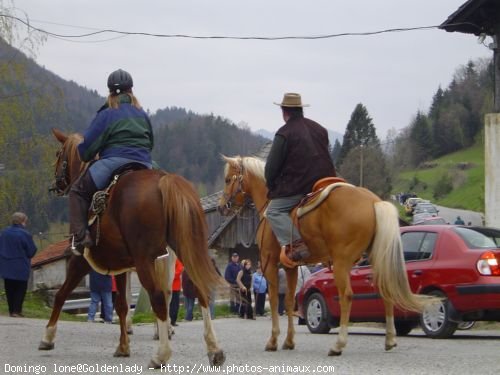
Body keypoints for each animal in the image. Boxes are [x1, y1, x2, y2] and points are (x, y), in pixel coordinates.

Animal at [38, 129, 225, 368]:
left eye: (58, 154)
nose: (56, 184)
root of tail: (165, 180)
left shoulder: (81, 260)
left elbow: (62, 294)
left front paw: (48, 337)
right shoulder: (119, 266)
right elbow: (122, 305)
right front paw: (123, 346)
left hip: (146, 260)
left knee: (158, 297)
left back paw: (161, 353)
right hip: (182, 253)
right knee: (196, 291)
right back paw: (213, 348)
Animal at [219, 156, 434, 356]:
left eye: (228, 179)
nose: (222, 206)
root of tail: (373, 201)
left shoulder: (269, 262)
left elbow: (273, 299)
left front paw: (273, 340)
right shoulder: (290, 267)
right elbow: (288, 301)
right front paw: (289, 341)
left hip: (341, 263)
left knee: (346, 296)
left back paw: (339, 344)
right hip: (374, 258)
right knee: (385, 290)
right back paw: (389, 339)